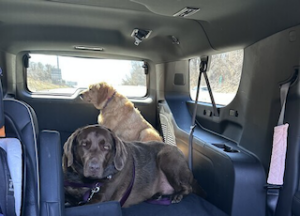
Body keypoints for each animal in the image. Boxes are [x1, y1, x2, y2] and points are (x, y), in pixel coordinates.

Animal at [63, 124, 204, 207]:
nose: (94, 167)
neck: (86, 182)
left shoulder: (99, 200)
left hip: (167, 158)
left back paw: (177, 195)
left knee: (188, 187)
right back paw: (157, 195)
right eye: (84, 144)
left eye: (106, 147)